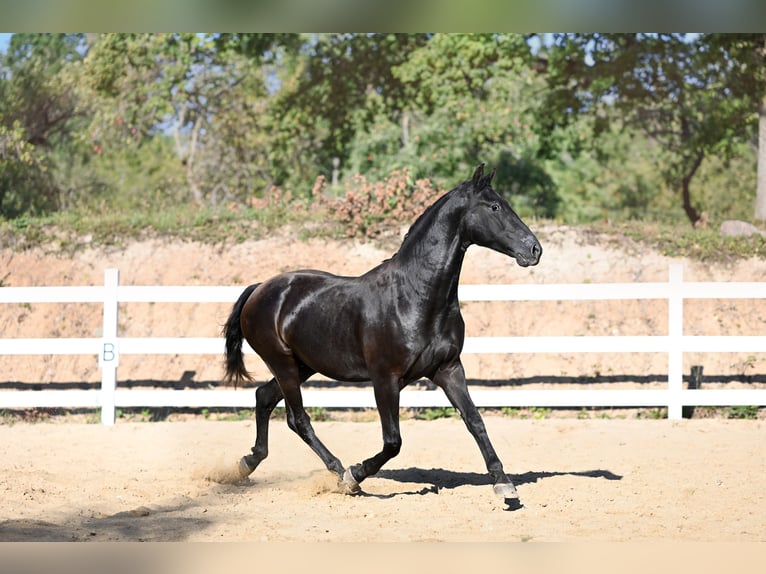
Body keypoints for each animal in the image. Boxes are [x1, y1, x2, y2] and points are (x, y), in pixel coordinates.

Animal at [225, 163, 544, 508]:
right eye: (495, 207)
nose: (534, 249)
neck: (414, 297)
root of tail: (260, 288)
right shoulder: (385, 379)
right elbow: (393, 441)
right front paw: (355, 475)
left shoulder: (448, 369)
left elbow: (475, 421)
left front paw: (505, 485)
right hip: (283, 363)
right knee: (298, 419)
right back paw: (339, 473)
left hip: (303, 365)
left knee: (264, 397)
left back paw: (248, 463)